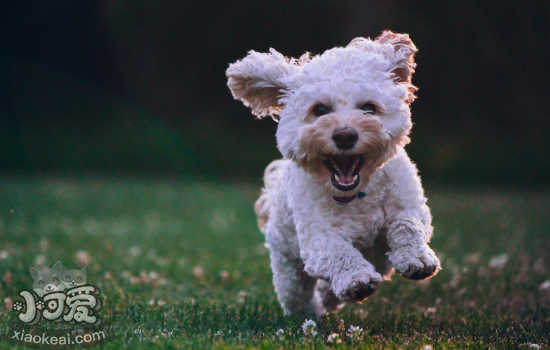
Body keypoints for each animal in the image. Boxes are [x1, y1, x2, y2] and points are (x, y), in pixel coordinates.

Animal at [226, 31, 442, 316]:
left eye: (369, 108)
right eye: (320, 110)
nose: (345, 135)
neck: (358, 194)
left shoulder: (410, 204)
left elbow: (407, 224)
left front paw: (416, 258)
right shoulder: (318, 237)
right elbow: (338, 251)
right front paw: (355, 279)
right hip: (287, 265)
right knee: (297, 294)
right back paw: (311, 312)